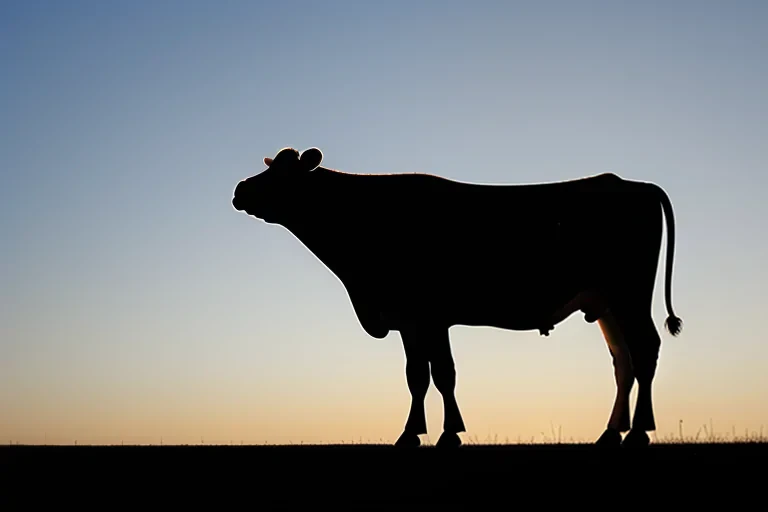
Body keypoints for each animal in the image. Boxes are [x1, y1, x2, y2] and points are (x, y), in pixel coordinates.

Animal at [231, 146, 683, 450]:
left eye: (283, 175)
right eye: (269, 166)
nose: (239, 189)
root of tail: (632, 184)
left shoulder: (429, 315)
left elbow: (441, 374)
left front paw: (447, 434)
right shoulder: (409, 319)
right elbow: (418, 375)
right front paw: (413, 433)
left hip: (630, 294)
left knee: (645, 349)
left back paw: (638, 431)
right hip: (606, 304)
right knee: (623, 360)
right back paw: (610, 433)